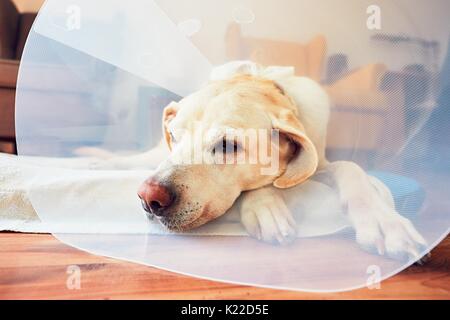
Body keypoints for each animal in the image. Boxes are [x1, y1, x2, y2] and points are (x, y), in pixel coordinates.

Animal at [79, 62, 428, 260]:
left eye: (228, 145)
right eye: (175, 136)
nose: (149, 198)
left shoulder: (321, 162)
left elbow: (350, 167)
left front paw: (383, 221)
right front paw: (266, 207)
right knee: (136, 160)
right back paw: (97, 163)